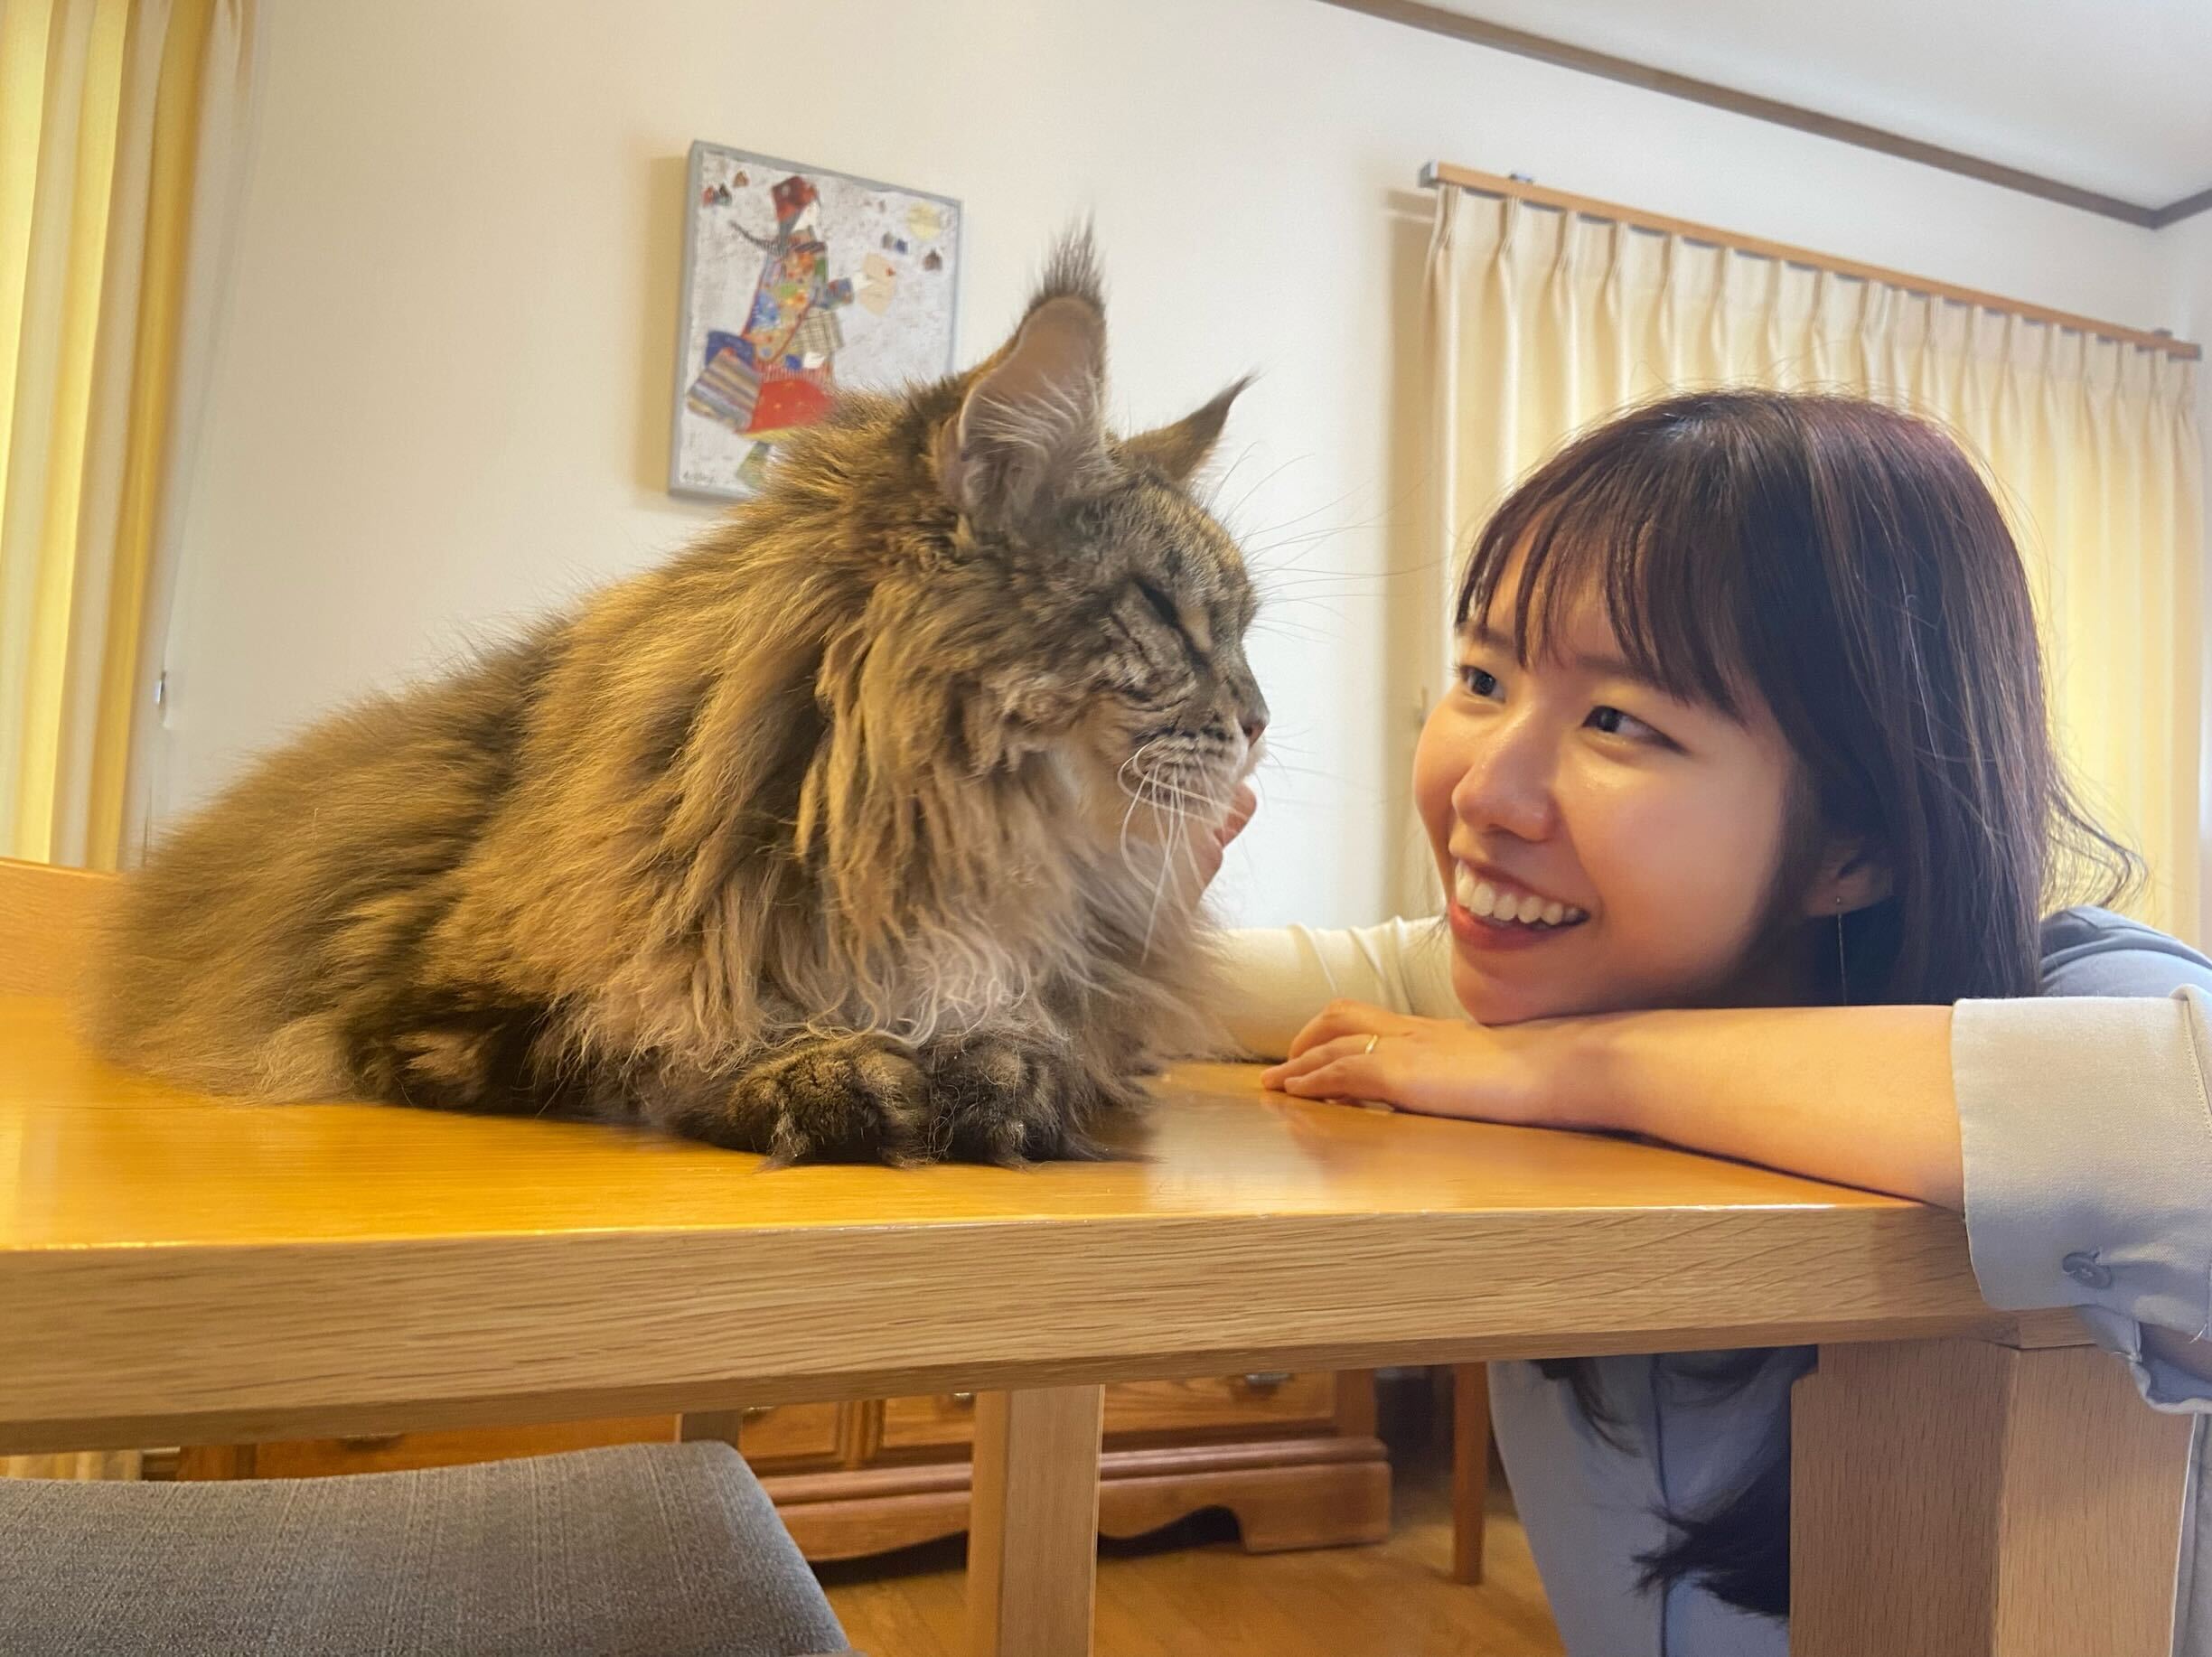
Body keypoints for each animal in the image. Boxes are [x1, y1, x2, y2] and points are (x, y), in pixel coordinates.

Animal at [90, 232, 1269, 1165]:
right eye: (1173, 617)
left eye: (1246, 629)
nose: (1260, 722)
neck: (912, 848)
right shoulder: (424, 1010)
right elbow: (654, 1041)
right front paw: (827, 1072)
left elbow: (1044, 1048)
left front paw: (993, 1070)